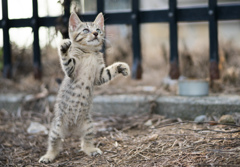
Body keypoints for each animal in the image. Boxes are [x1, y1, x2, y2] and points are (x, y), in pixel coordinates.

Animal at [38, 12, 130, 163]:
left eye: (98, 29)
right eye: (86, 30)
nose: (95, 33)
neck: (89, 53)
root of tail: (72, 130)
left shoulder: (99, 75)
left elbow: (109, 72)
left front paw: (122, 67)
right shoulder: (72, 71)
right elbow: (67, 60)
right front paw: (64, 47)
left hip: (89, 126)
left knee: (85, 142)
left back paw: (91, 150)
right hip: (57, 128)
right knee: (54, 144)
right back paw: (48, 156)